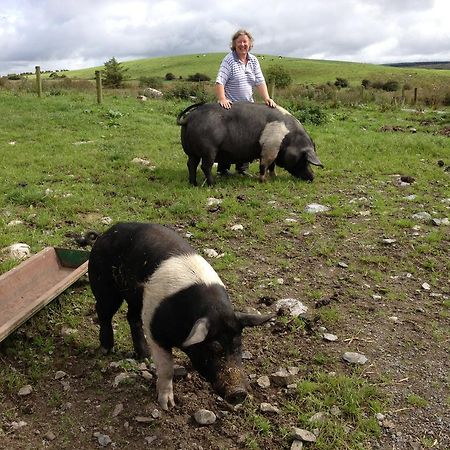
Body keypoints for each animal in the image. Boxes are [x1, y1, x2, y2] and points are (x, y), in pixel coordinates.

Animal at [86, 223, 272, 410]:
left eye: (238, 346)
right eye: (213, 348)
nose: (239, 393)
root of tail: (106, 233)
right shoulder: (155, 332)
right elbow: (167, 368)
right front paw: (167, 405)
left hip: (136, 297)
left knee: (132, 317)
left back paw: (144, 355)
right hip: (104, 284)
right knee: (103, 312)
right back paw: (106, 350)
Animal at [177, 101, 324, 185]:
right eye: (304, 159)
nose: (312, 177)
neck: (289, 139)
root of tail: (189, 118)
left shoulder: (273, 150)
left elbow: (272, 165)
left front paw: (274, 177)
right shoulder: (269, 147)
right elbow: (264, 164)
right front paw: (263, 181)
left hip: (191, 151)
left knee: (191, 164)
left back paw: (193, 183)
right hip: (209, 149)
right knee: (205, 166)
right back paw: (212, 184)